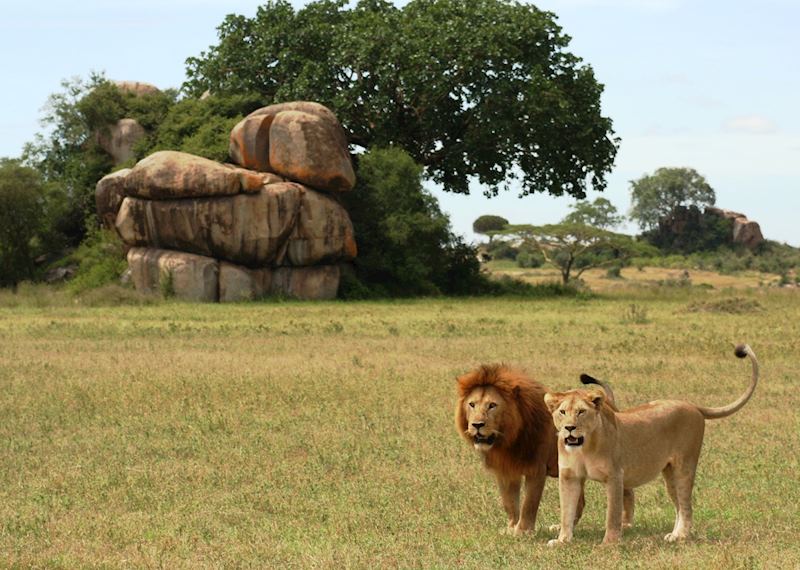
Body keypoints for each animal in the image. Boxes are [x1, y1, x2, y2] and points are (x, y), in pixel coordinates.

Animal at [455, 365, 620, 534]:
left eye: (492, 405)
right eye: (472, 404)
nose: (476, 425)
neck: (509, 439)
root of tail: (608, 403)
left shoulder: (536, 469)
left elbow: (529, 503)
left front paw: (522, 531)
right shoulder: (505, 471)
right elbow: (509, 503)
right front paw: (511, 528)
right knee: (579, 502)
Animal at [544, 344, 759, 545]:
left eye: (581, 412)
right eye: (562, 412)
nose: (569, 428)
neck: (584, 448)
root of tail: (692, 405)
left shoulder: (615, 476)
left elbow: (612, 514)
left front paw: (608, 544)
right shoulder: (569, 477)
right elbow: (566, 512)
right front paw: (562, 540)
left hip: (684, 466)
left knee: (686, 506)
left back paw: (681, 536)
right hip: (670, 474)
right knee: (679, 505)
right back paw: (674, 535)